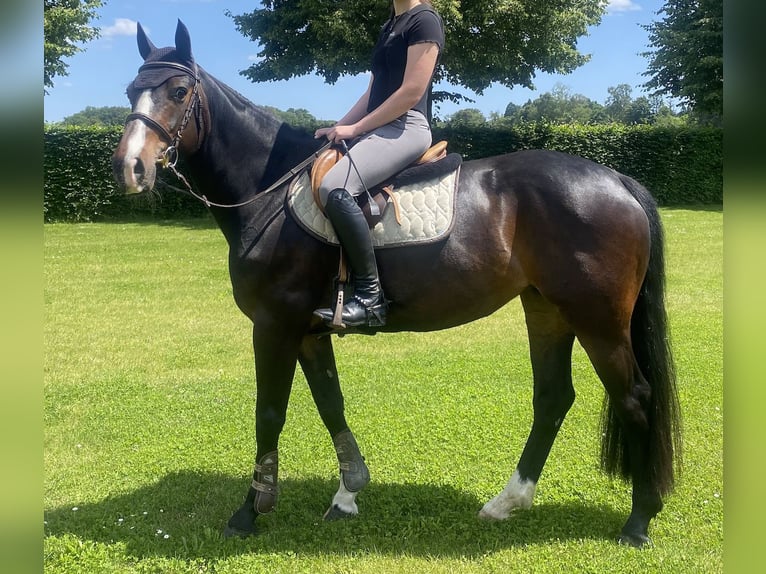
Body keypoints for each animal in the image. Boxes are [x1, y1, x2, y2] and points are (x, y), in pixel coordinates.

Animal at [111, 20, 681, 548]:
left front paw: (250, 512)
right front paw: (348, 491)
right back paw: (508, 502)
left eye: (178, 92)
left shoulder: (274, 325)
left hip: (598, 319)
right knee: (553, 397)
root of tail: (616, 180)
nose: (129, 168)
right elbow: (331, 403)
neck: (270, 194)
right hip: (547, 310)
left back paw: (638, 522)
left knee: (634, 398)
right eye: (130, 91)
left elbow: (269, 413)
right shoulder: (308, 331)